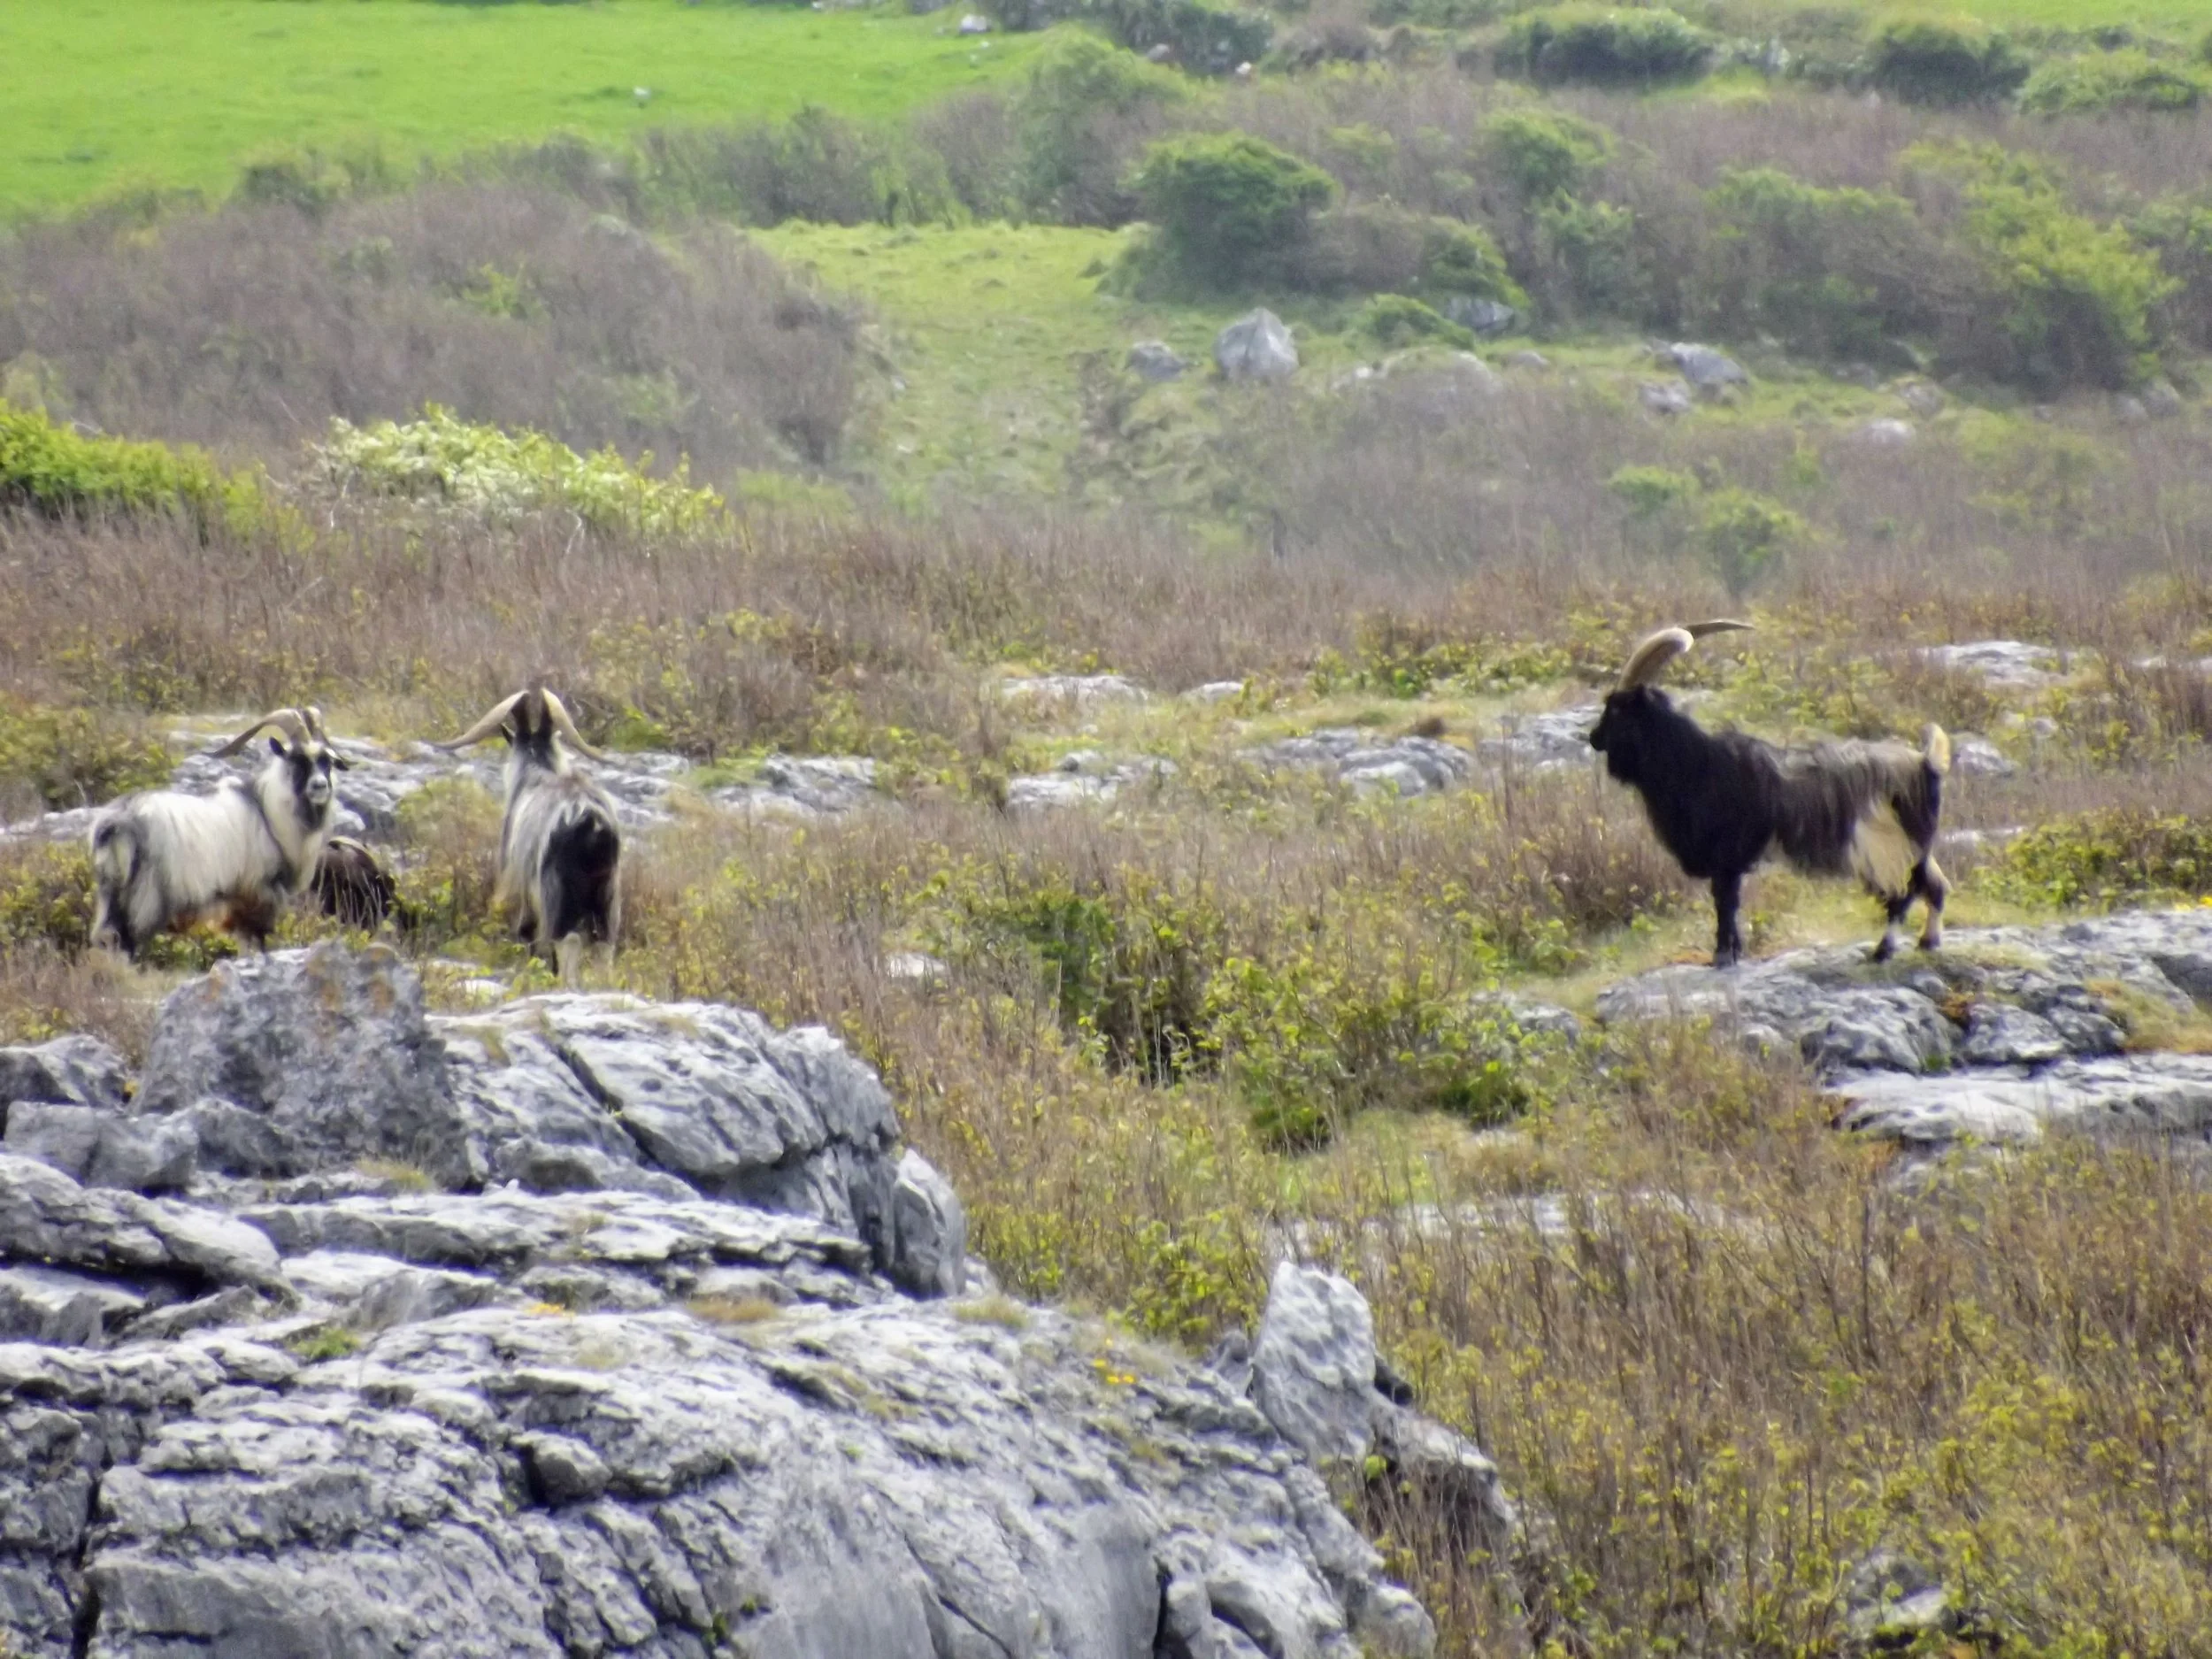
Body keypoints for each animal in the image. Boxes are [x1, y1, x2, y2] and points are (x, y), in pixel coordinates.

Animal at [90, 707, 348, 957]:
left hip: (111, 893)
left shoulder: (236, 903)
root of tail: (118, 822)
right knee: (128, 940)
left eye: (327, 761)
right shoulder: (258, 892)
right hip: (146, 898)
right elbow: (257, 940)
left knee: (108, 936)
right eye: (297, 759)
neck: (268, 811)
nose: (320, 787)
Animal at [437, 687, 621, 983]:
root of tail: (590, 819)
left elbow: (527, 933)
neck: (535, 776)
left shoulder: (522, 884)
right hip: (607, 895)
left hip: (556, 891)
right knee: (604, 944)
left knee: (566, 940)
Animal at [1587, 622, 1952, 967]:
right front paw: (1732, 952)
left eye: (1616, 709)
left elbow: (1725, 902)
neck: (1695, 764)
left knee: (1905, 895)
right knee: (1935, 886)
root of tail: (1925, 764)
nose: (1593, 737)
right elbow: (1729, 904)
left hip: (1885, 849)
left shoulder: (1726, 856)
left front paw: (1722, 956)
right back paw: (1927, 942)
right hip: (1913, 847)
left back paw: (1882, 951)